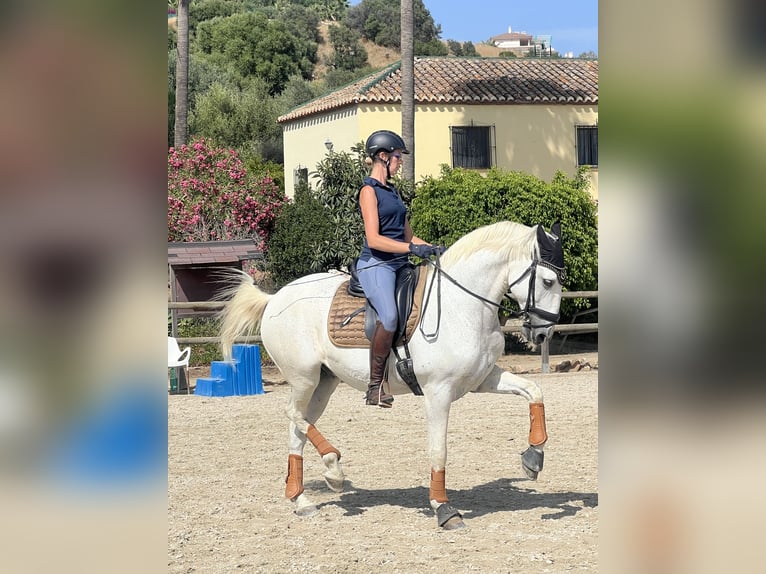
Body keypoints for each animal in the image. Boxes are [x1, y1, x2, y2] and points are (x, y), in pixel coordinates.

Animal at [219, 221, 565, 529]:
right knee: (291, 413)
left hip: (323, 384)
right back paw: (333, 467)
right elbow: (438, 450)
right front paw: (444, 509)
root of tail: (275, 298)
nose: (543, 334)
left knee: (298, 429)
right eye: (548, 281)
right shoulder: (438, 393)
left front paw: (533, 458)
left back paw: (303, 499)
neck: (462, 306)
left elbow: (534, 391)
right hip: (304, 378)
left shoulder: (483, 379)